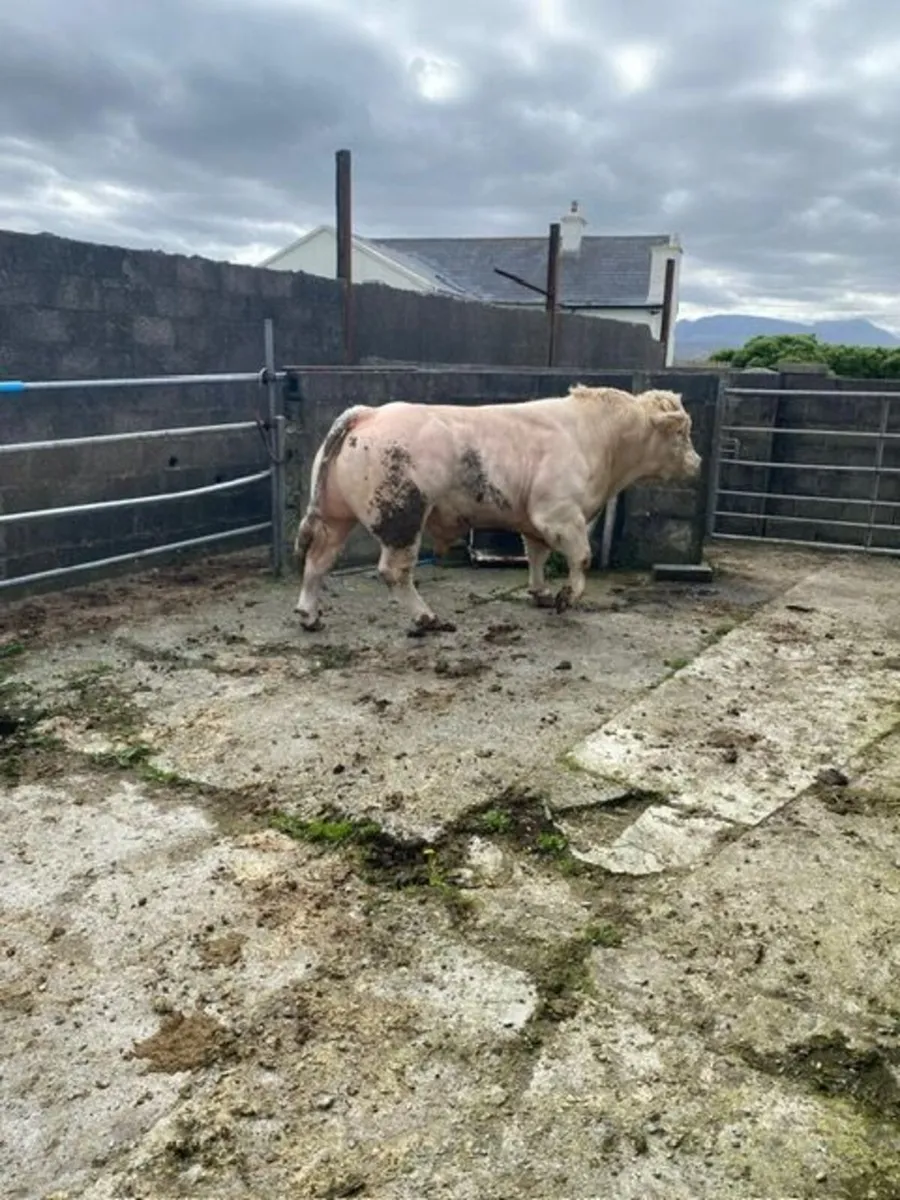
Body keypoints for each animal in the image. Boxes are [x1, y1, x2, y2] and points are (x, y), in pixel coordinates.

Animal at [293, 384, 702, 635]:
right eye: (681, 432)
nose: (697, 463)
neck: (596, 436)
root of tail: (369, 412)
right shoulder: (559, 514)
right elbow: (581, 558)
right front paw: (566, 598)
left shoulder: (536, 522)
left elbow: (536, 555)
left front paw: (540, 593)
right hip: (402, 520)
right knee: (394, 572)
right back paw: (426, 618)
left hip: (336, 516)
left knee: (318, 560)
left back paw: (309, 615)